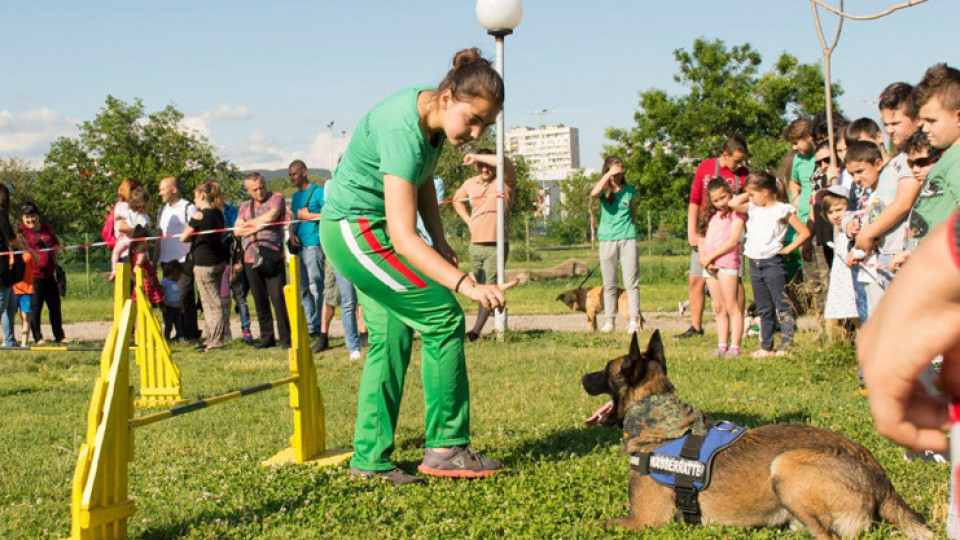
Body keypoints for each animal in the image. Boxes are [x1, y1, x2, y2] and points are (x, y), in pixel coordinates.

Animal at [580, 332, 932, 536]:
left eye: (605, 370)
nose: (581, 377)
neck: (660, 420)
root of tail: (881, 478)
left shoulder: (644, 521)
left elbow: (594, 522)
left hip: (786, 467)